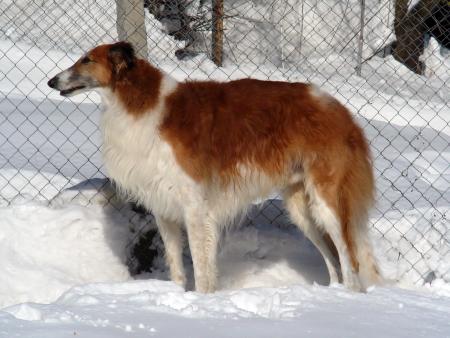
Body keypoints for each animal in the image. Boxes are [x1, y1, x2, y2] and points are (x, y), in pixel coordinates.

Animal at [47, 41, 382, 290]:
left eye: (87, 60)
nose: (51, 81)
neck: (143, 104)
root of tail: (342, 112)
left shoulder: (195, 207)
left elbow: (202, 269)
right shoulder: (164, 208)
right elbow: (177, 269)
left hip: (327, 202)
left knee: (350, 260)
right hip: (302, 208)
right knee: (334, 262)